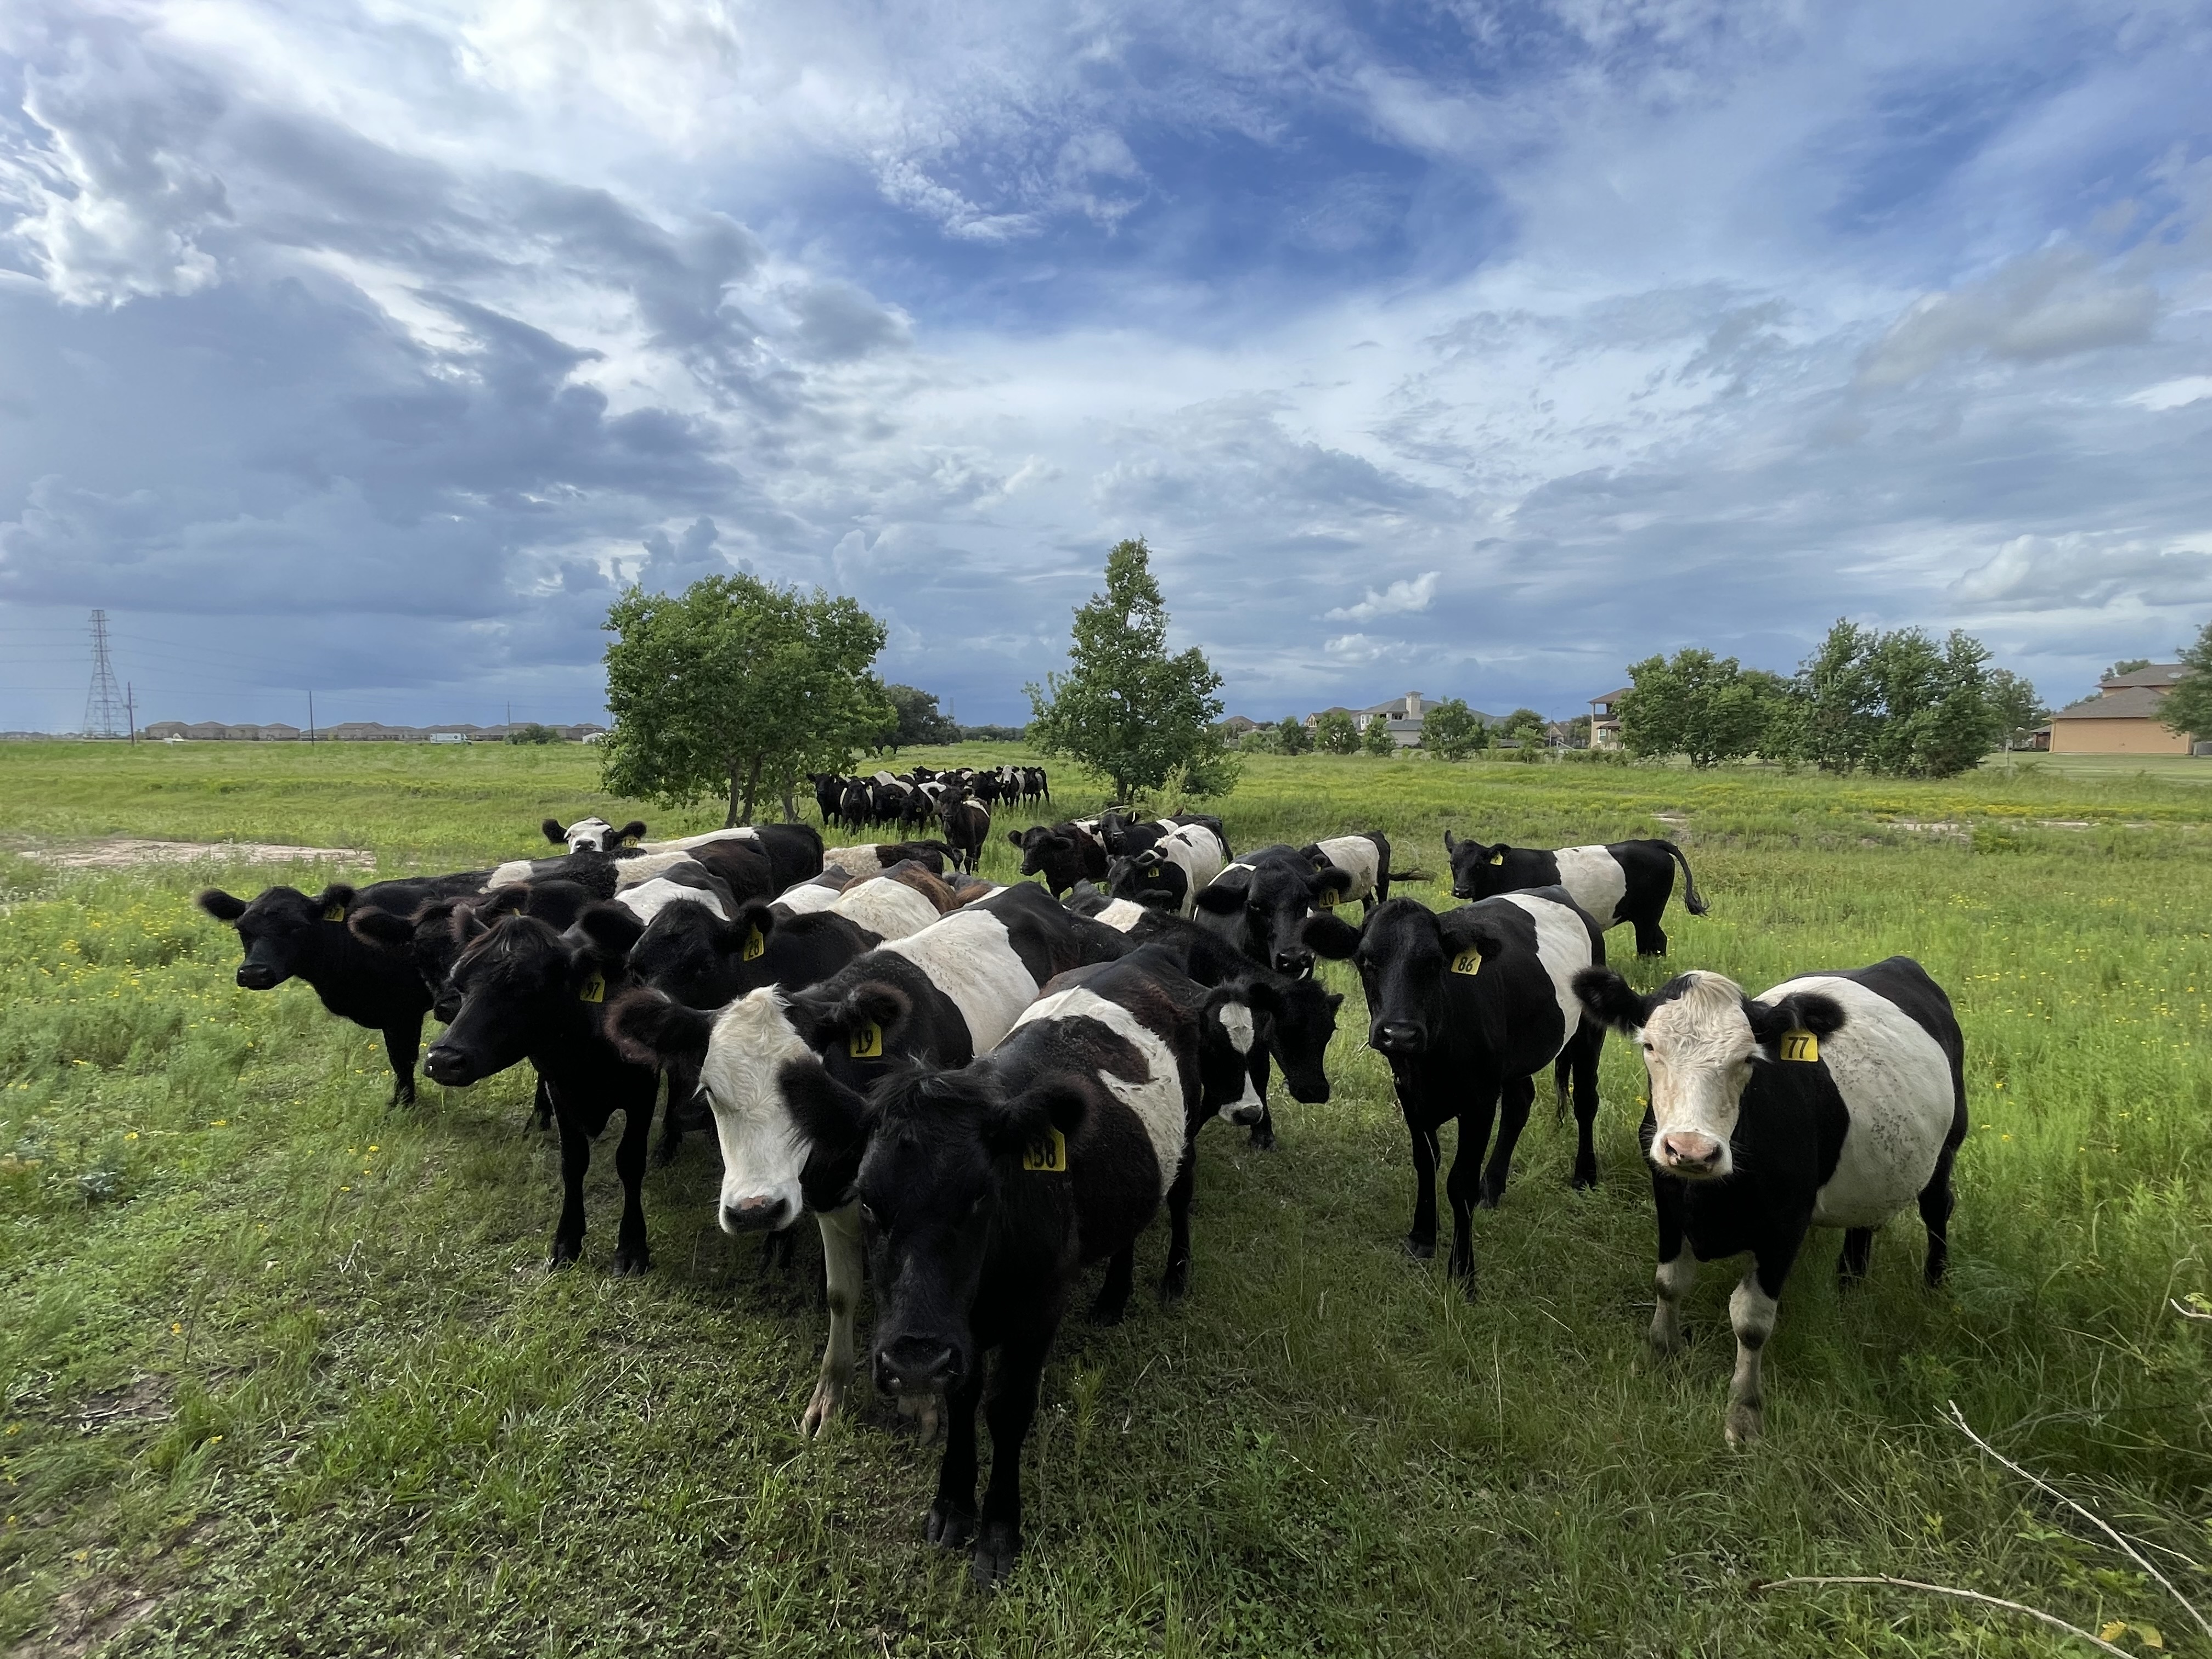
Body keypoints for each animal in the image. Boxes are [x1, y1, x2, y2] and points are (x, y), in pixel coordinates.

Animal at [1309, 898, 1610, 1300]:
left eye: (1435, 961)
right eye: (1366, 960)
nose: (1399, 1033)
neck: (1431, 1059)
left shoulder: (1479, 1101)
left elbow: (1459, 1183)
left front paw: (1463, 1272)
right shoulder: (1409, 1092)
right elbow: (1425, 1163)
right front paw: (1422, 1237)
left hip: (1590, 1031)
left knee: (1586, 1101)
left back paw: (1585, 1176)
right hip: (1515, 1057)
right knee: (1520, 1103)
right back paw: (1493, 1187)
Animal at [1442, 832, 1716, 960]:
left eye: (1479, 865)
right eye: (1453, 863)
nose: (1462, 890)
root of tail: (1650, 843)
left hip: (1648, 914)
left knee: (1652, 942)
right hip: (1646, 915)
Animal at [1575, 955, 1973, 1451]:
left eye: (1749, 1059)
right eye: (1649, 1046)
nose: (1692, 1150)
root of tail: (1899, 963)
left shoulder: (1787, 1224)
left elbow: (1752, 1321)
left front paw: (1745, 1413)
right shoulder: (1667, 1192)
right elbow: (1668, 1282)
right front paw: (1660, 1355)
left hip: (1948, 1148)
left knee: (1938, 1209)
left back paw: (1934, 1287)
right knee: (1862, 1227)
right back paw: (1849, 1290)